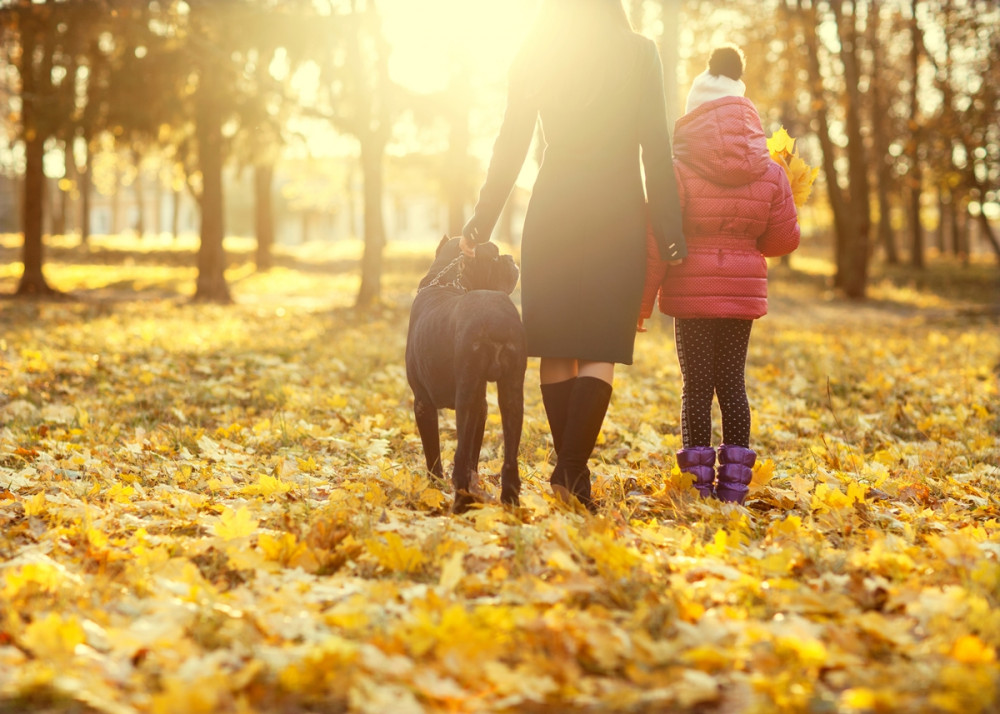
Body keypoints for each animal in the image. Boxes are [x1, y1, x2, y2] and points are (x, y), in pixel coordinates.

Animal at [406, 238, 532, 512]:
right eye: (495, 256)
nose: (510, 258)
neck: (447, 279)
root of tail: (495, 318)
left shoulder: (423, 404)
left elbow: (434, 455)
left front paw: (434, 488)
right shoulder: (481, 405)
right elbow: (475, 451)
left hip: (465, 395)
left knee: (461, 457)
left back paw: (460, 504)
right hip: (512, 395)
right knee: (508, 459)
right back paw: (509, 502)